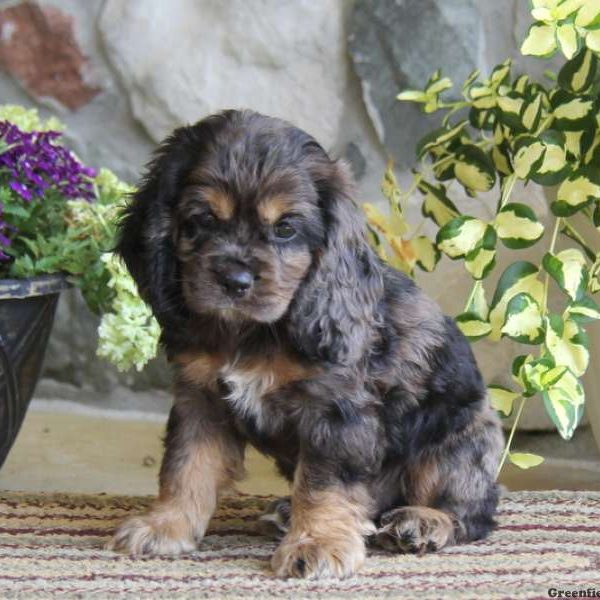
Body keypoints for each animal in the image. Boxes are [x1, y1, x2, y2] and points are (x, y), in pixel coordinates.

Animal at [108, 110, 502, 580]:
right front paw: (166, 526)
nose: (235, 281)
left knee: (473, 513)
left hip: (456, 442)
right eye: (202, 219)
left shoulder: (334, 412)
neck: (254, 332)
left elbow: (324, 483)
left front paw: (317, 543)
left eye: (285, 229)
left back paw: (423, 523)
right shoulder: (199, 399)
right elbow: (187, 466)